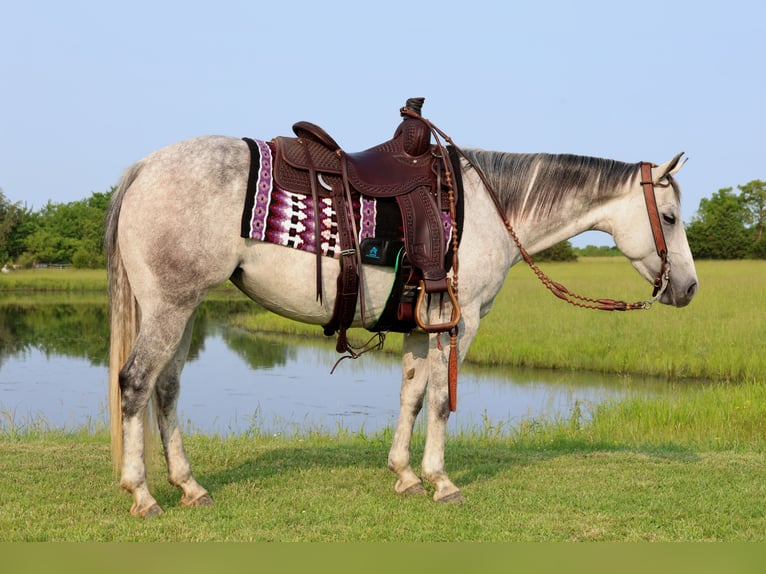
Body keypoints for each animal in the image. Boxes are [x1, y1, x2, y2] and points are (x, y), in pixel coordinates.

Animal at [105, 133, 698, 517]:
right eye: (669, 218)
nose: (689, 288)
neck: (487, 209)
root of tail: (145, 167)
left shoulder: (420, 326)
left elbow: (411, 396)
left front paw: (406, 475)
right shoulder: (459, 323)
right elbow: (439, 401)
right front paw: (441, 482)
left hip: (184, 307)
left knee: (166, 388)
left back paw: (189, 486)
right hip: (171, 306)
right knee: (135, 383)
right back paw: (143, 494)